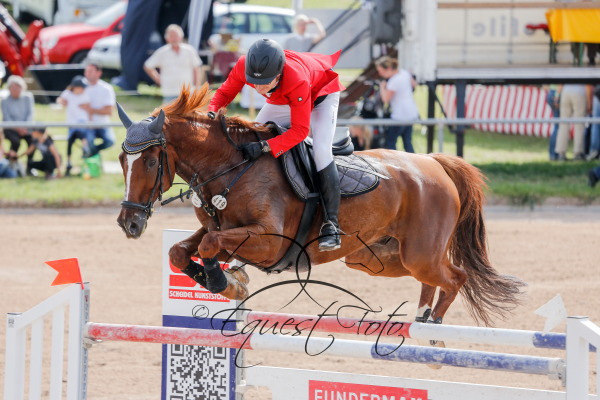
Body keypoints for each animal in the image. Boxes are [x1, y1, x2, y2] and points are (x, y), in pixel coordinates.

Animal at [117, 85, 524, 327]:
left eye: (150, 162)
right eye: (122, 160)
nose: (129, 224)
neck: (234, 167)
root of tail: (434, 163)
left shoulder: (270, 242)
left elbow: (208, 245)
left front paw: (225, 282)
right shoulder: (220, 227)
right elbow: (182, 250)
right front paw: (229, 284)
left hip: (418, 253)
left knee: (456, 276)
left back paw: (434, 325)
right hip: (379, 258)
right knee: (432, 278)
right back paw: (421, 318)